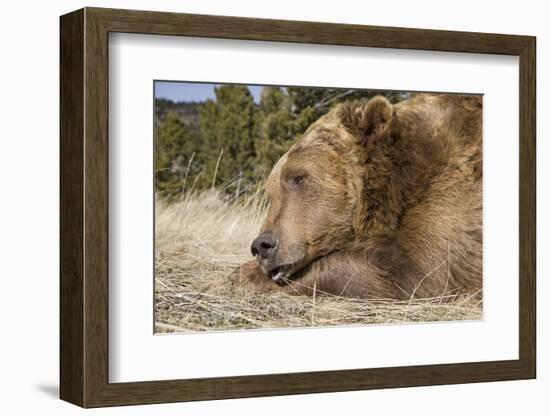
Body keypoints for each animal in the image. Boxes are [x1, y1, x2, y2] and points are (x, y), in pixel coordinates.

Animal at [233, 93, 484, 300]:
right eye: (271, 192)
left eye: (297, 177)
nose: (262, 246)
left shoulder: (453, 191)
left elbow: (415, 271)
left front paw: (245, 273)